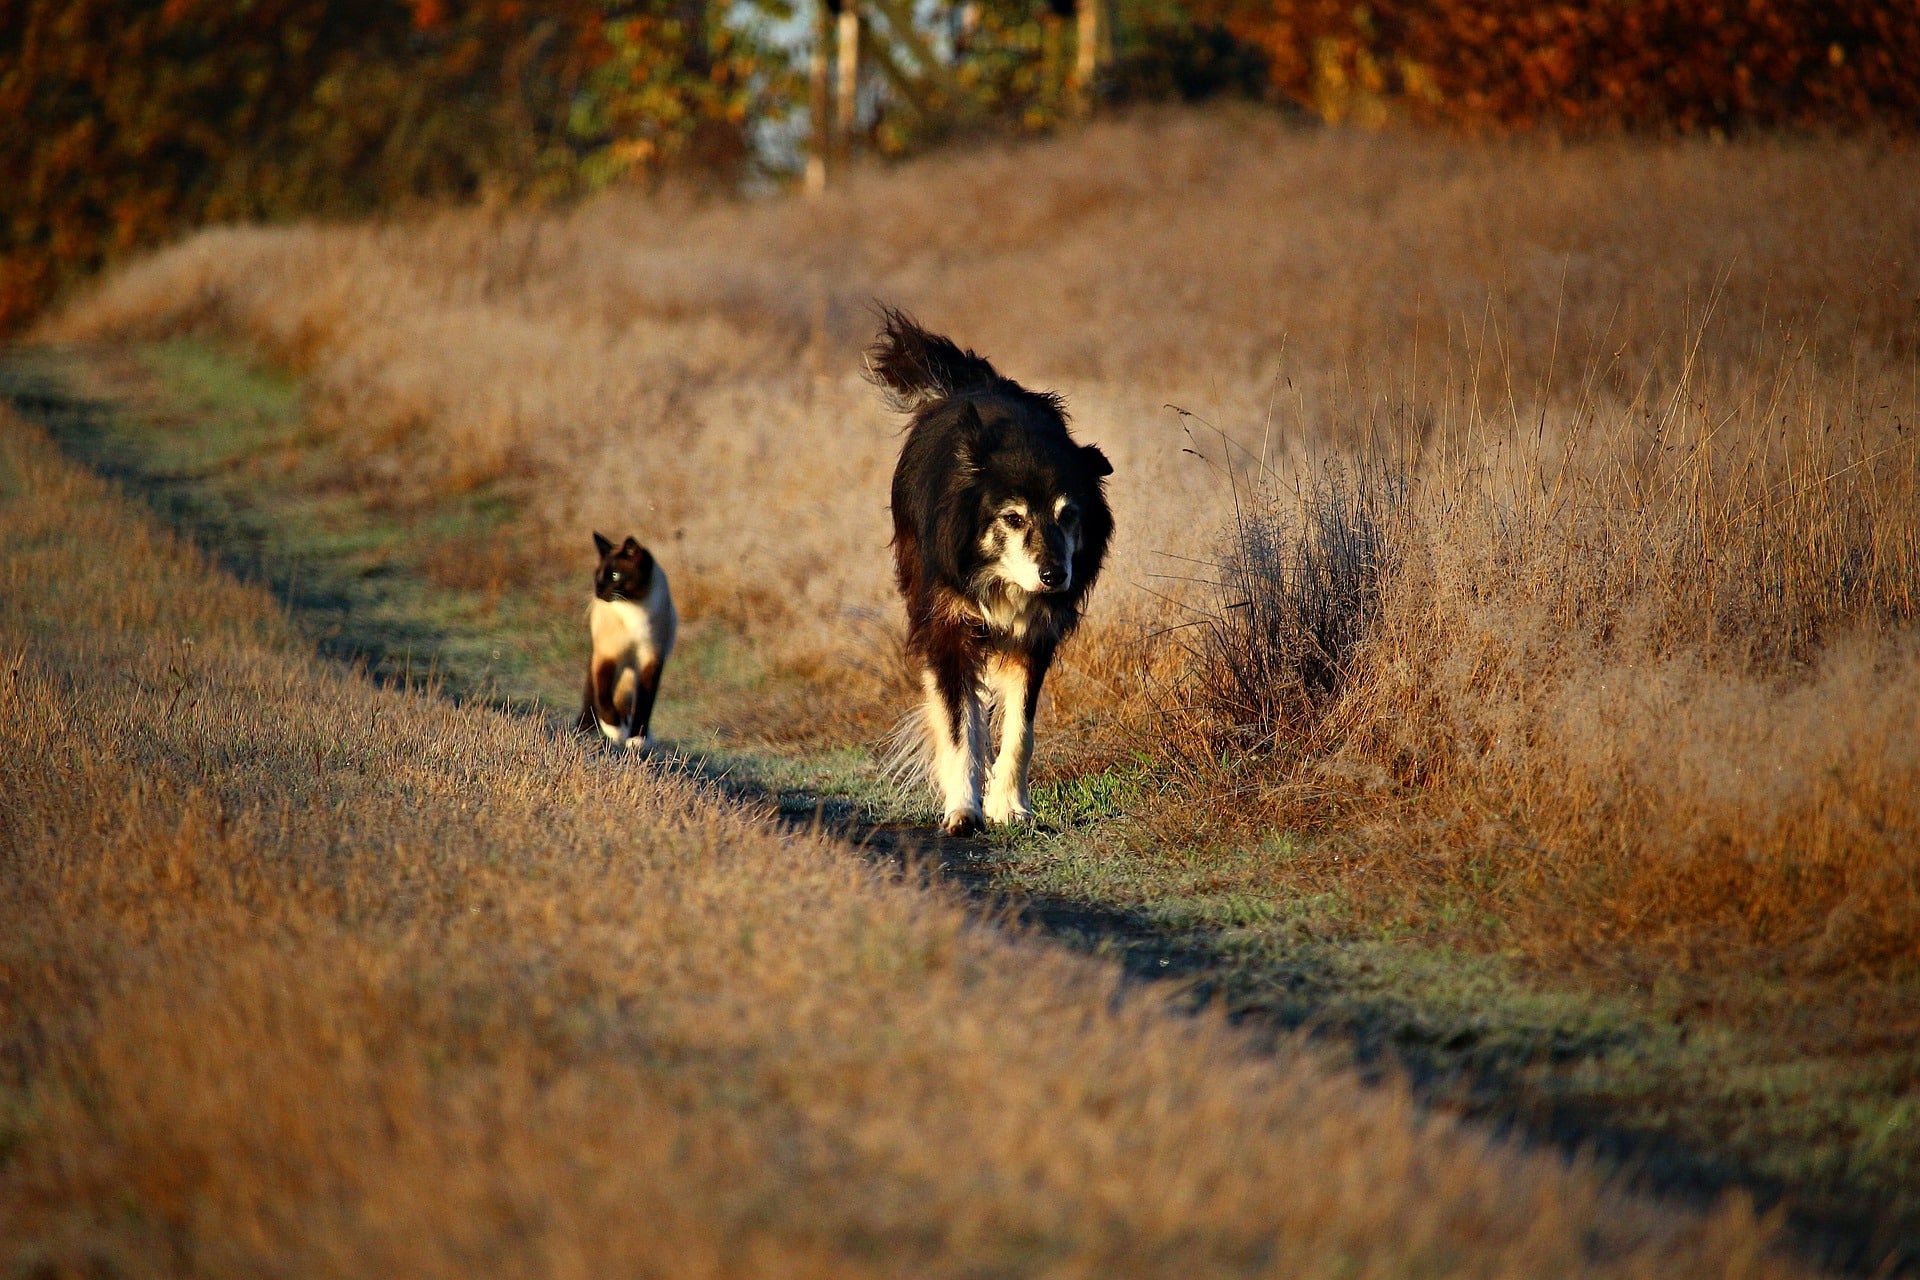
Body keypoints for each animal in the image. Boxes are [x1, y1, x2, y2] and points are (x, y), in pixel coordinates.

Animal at [576, 529, 675, 752]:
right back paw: (585, 728)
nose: (598, 592)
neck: (634, 608)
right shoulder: (608, 657)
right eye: (597, 575)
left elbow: (645, 703)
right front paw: (616, 730)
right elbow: (603, 697)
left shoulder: (651, 660)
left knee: (625, 700)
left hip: (630, 673)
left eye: (615, 575)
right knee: (593, 693)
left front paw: (637, 738)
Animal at [867, 305, 1121, 836]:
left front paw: (1012, 808)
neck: (1000, 580)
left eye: (1069, 514)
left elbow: (1021, 727)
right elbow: (958, 724)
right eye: (1013, 518)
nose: (1054, 577)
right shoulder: (947, 623)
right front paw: (964, 811)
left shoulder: (1034, 636)